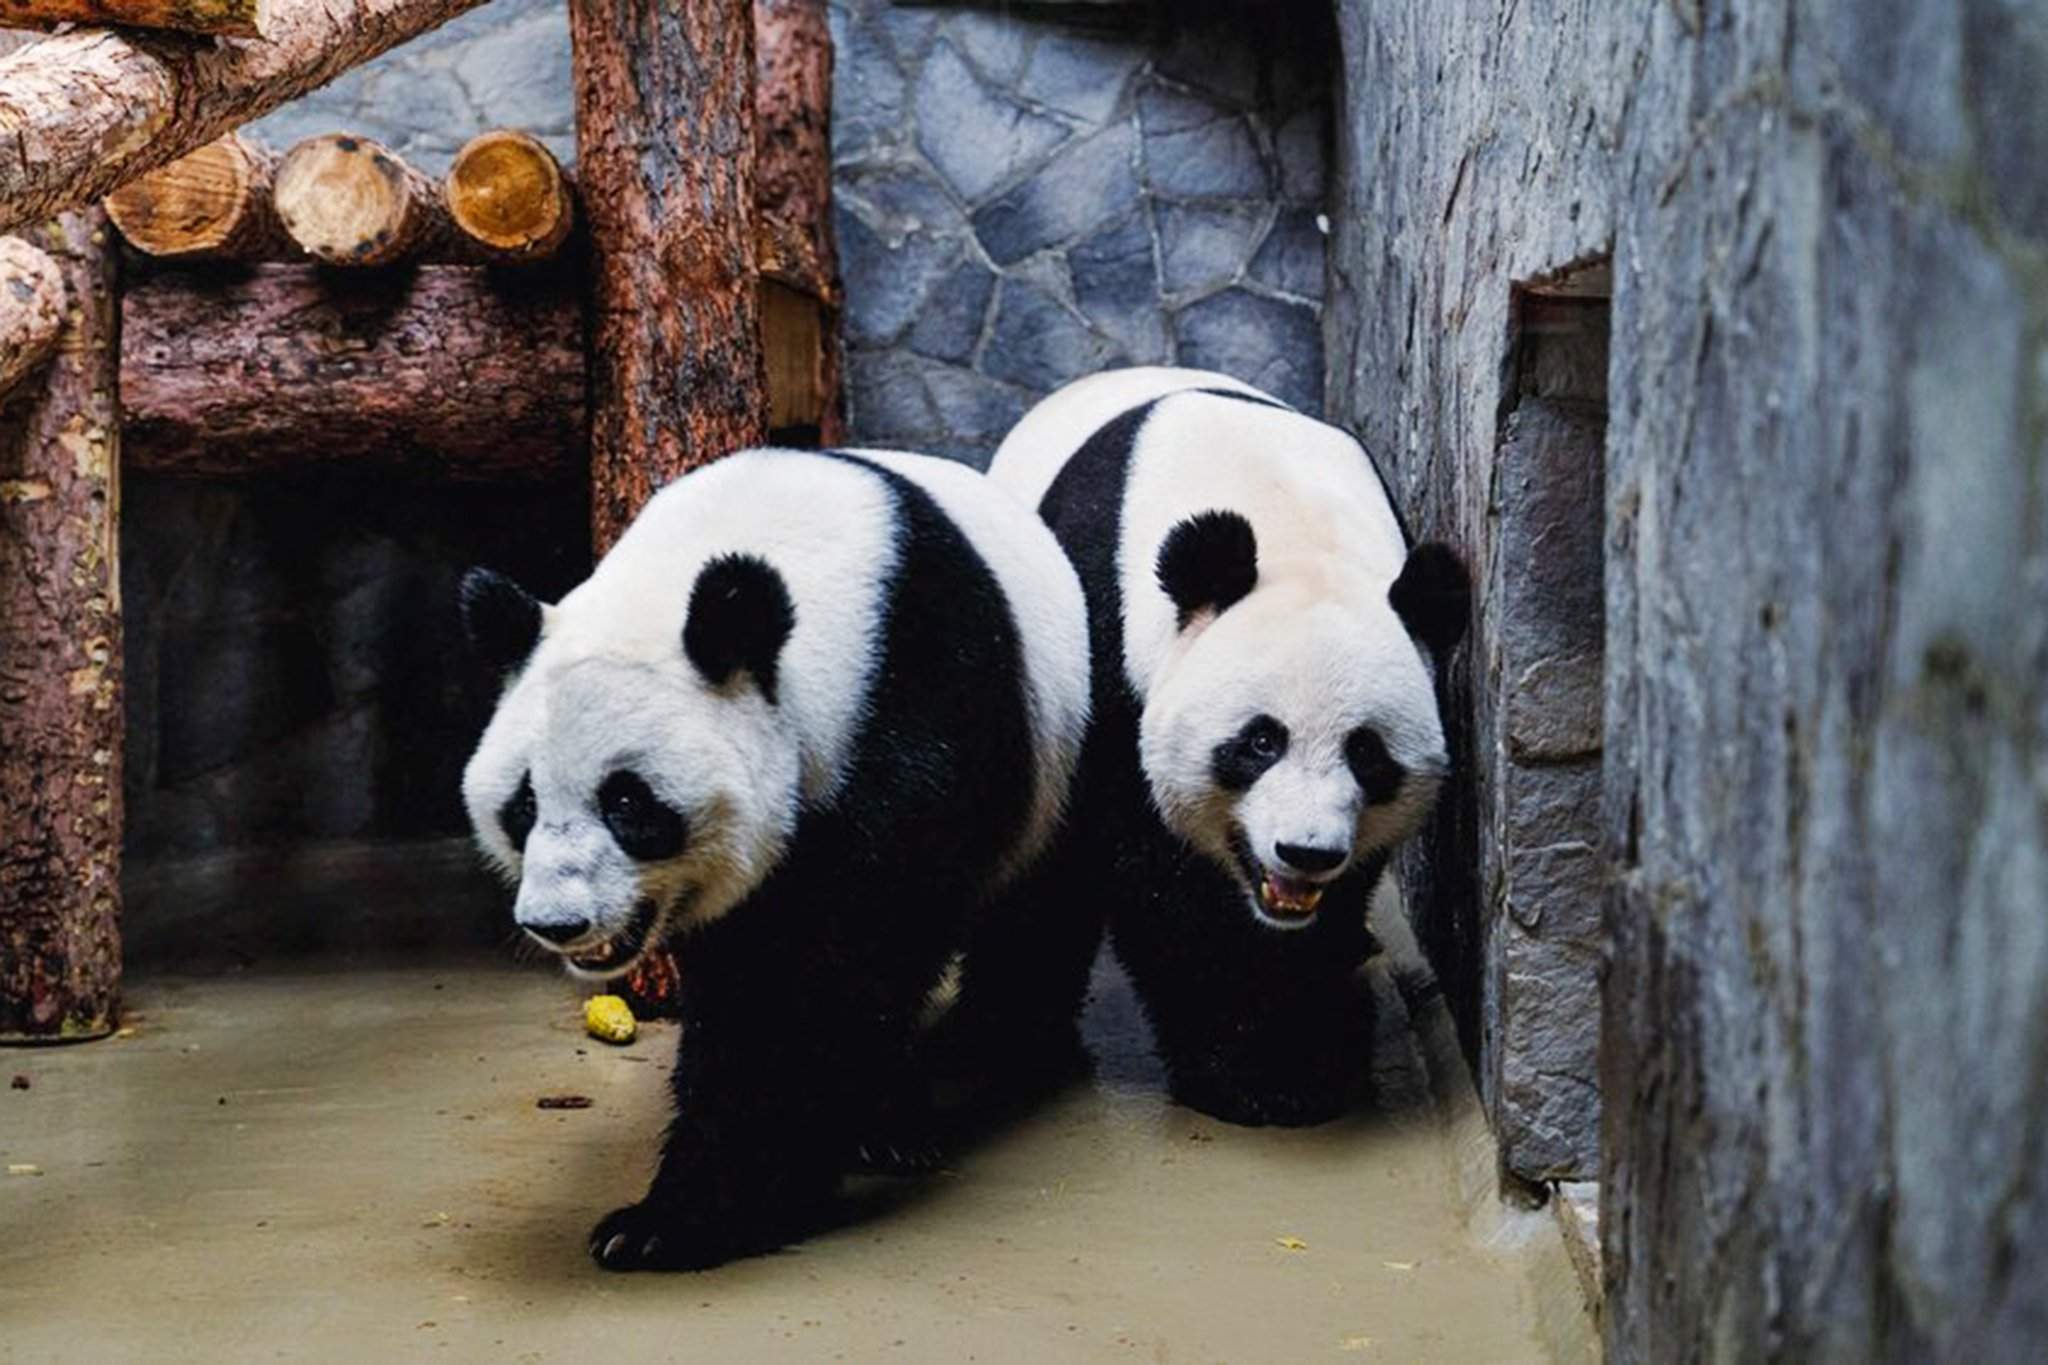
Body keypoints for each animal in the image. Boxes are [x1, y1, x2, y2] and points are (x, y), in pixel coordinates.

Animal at [452, 448, 1089, 1268]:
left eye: (627, 803)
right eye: (524, 804)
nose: (557, 923)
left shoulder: (911, 706)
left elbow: (830, 972)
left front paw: (689, 1216)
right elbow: (743, 974)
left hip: (1061, 753)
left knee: (1036, 912)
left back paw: (987, 1054)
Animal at [991, 368, 1474, 1129]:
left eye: (1368, 754)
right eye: (1259, 741)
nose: (1306, 851)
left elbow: (1338, 898)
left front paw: (1311, 1048)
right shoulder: (1114, 653)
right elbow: (1156, 877)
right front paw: (1251, 1074)